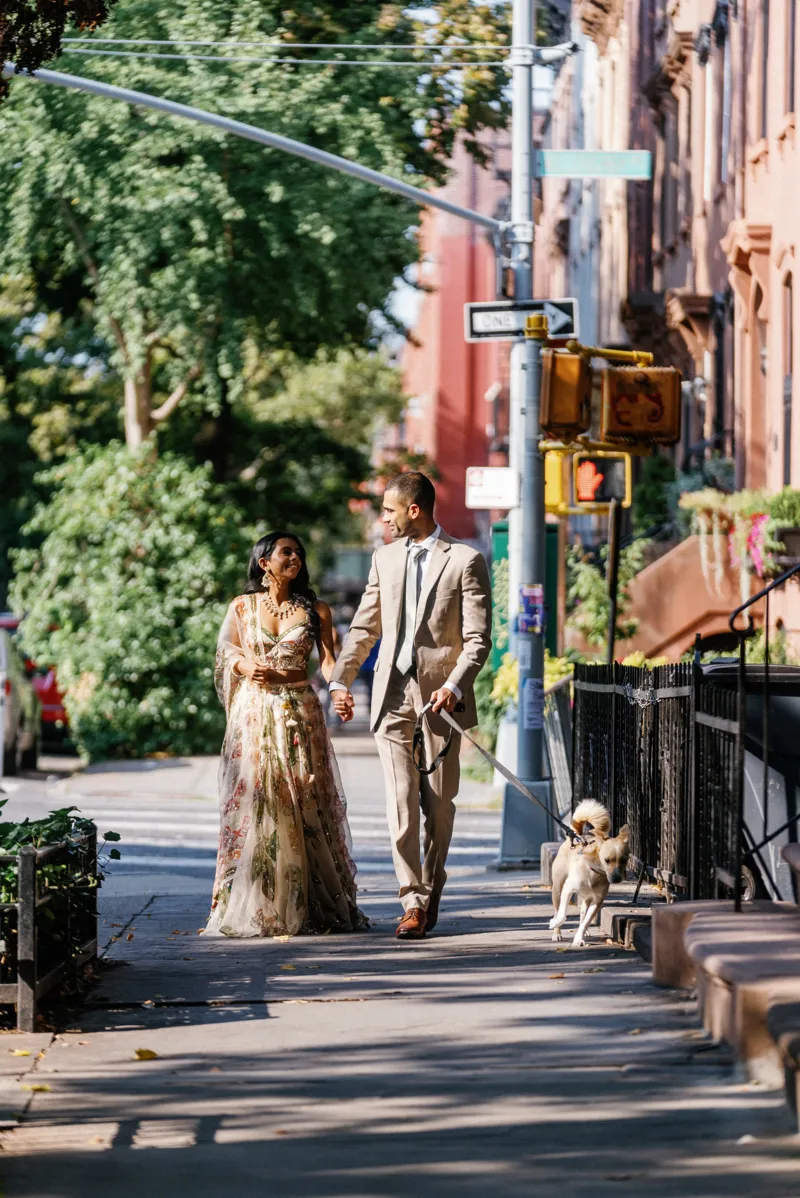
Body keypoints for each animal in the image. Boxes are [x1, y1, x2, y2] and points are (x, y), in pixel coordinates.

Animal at [550, 800, 632, 948]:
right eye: (607, 860)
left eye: (624, 860)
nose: (616, 878)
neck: (594, 871)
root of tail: (577, 836)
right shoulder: (567, 888)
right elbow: (562, 913)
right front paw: (555, 922)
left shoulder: (597, 901)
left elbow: (587, 920)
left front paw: (578, 938)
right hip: (558, 888)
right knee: (557, 908)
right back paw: (556, 932)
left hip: (587, 898)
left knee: (583, 913)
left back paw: (584, 931)